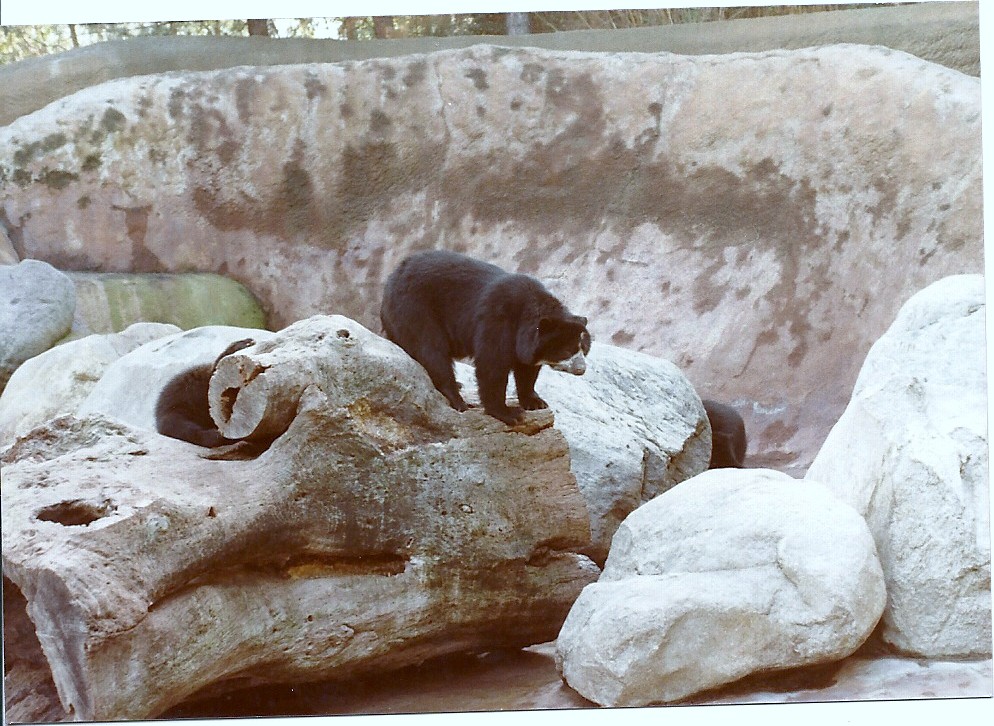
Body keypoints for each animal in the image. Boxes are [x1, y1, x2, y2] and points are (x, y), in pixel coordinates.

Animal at [380, 249, 590, 425]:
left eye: (584, 350)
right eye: (567, 350)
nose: (581, 369)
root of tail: (391, 278)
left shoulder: (526, 343)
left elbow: (526, 369)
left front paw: (535, 402)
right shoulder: (497, 320)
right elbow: (492, 365)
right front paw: (508, 413)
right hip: (415, 308)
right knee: (431, 349)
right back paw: (458, 399)